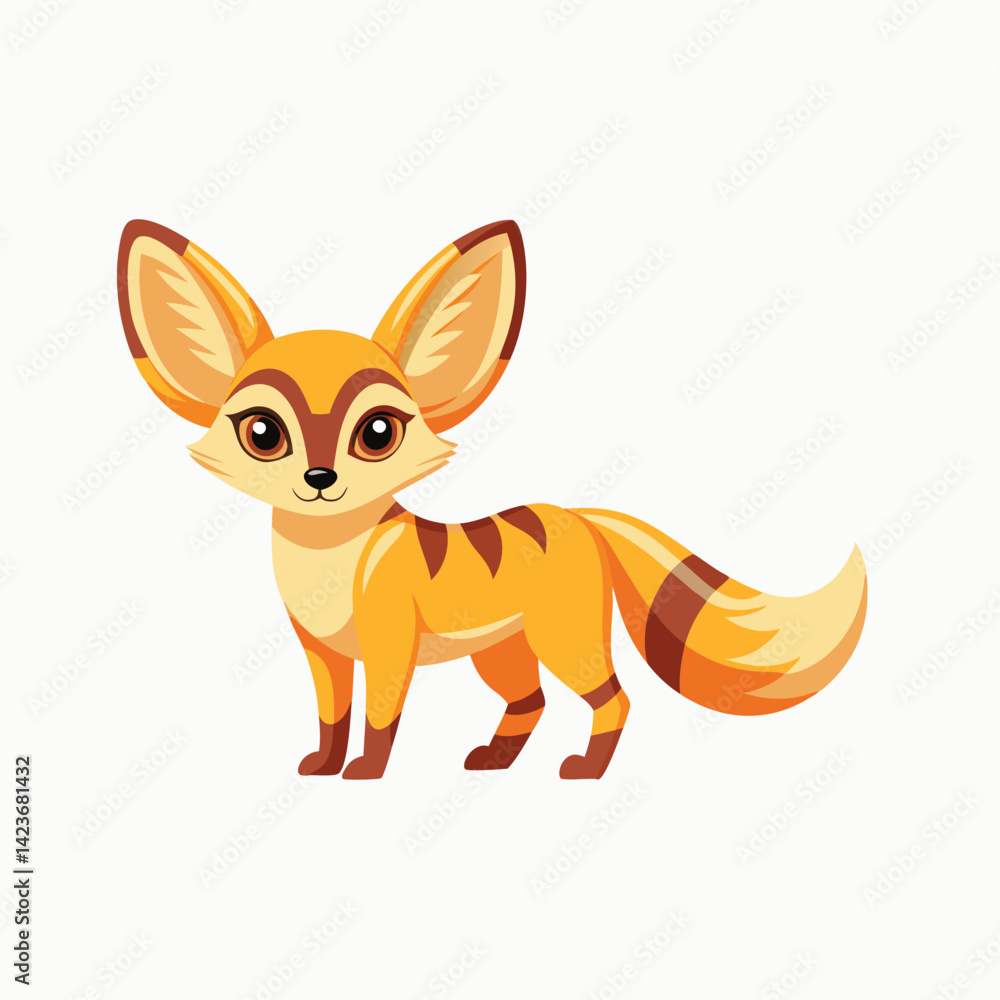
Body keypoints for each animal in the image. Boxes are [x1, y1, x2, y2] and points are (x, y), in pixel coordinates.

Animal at [117, 218, 867, 780]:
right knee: (530, 700)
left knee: (613, 699)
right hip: (502, 649)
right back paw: (497, 760)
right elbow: (332, 716)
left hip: (563, 636)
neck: (330, 563)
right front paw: (324, 765)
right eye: (263, 433)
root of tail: (581, 518)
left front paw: (365, 772)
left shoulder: (389, 646)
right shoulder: (322, 653)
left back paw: (586, 770)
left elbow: (381, 717)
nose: (321, 479)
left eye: (378, 432)